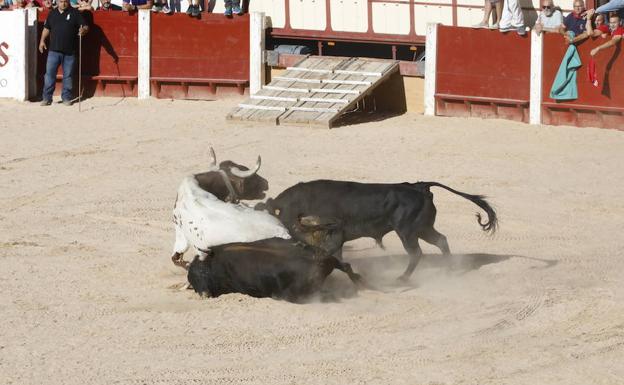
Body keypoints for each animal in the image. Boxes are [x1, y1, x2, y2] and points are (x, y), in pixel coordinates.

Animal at [255, 178, 498, 280]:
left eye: (278, 215)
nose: (286, 233)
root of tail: (420, 186)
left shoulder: (334, 236)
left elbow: (333, 256)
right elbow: (338, 258)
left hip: (407, 231)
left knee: (416, 253)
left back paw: (402, 278)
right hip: (423, 228)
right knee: (441, 241)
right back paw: (449, 270)